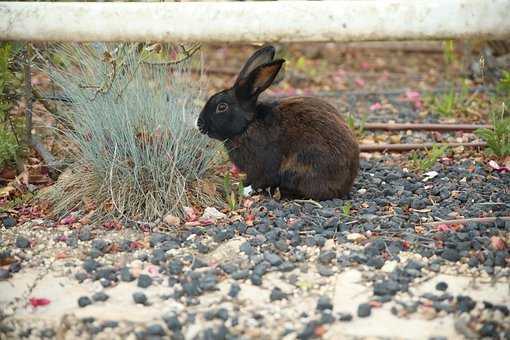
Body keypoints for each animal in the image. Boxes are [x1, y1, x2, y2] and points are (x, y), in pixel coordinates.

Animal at [195, 44, 358, 199]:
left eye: (222, 107)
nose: (199, 124)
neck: (248, 125)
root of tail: (346, 185)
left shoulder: (263, 164)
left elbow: (259, 179)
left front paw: (244, 190)